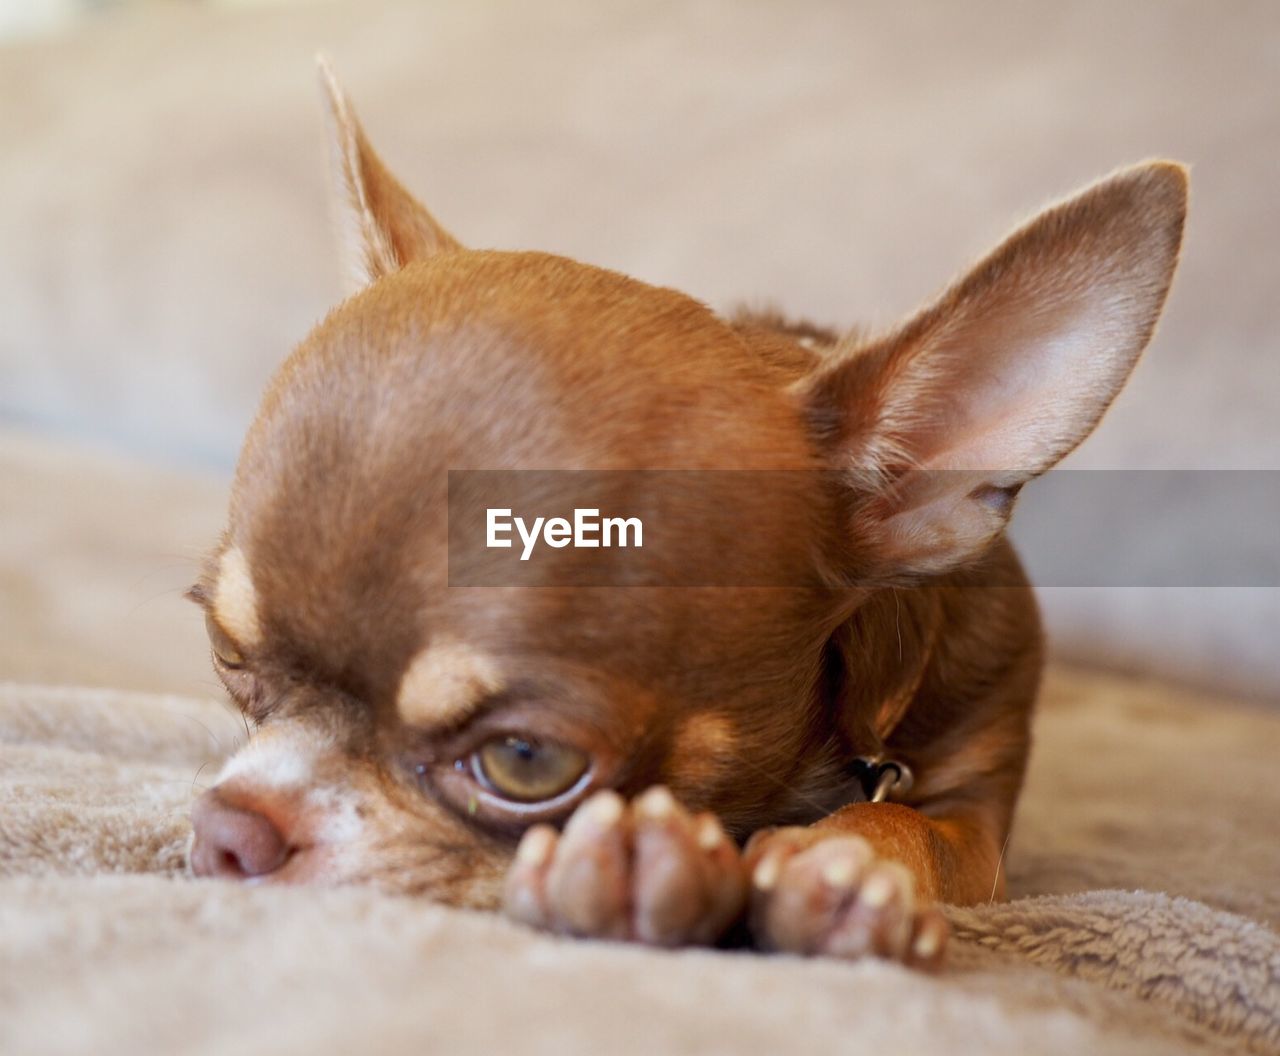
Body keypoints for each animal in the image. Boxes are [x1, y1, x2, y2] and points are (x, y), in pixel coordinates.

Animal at [185, 67, 1182, 972]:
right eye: (227, 655)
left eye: (524, 759)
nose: (231, 829)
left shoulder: (979, 807)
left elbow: (912, 822)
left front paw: (849, 862)